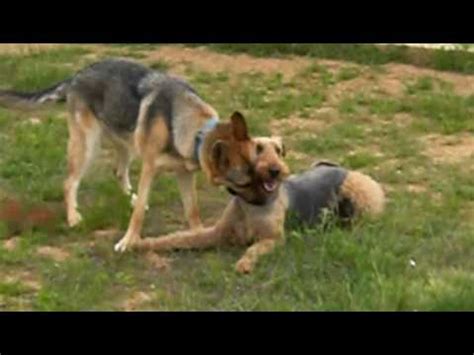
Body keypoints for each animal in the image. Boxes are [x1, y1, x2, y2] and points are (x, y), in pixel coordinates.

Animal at [0, 58, 258, 253]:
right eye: (243, 181)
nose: (264, 202)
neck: (194, 130)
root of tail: (77, 75)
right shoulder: (150, 168)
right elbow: (138, 215)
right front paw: (128, 241)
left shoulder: (184, 174)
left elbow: (192, 209)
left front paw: (196, 235)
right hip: (87, 146)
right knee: (69, 182)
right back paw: (73, 217)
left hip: (126, 144)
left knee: (118, 171)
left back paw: (128, 197)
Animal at [132, 132, 386, 274]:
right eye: (258, 148)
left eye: (278, 150)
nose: (275, 171)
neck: (251, 203)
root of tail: (345, 169)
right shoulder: (217, 232)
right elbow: (179, 237)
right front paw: (141, 243)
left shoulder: (273, 239)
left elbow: (253, 249)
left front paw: (244, 265)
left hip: (358, 196)